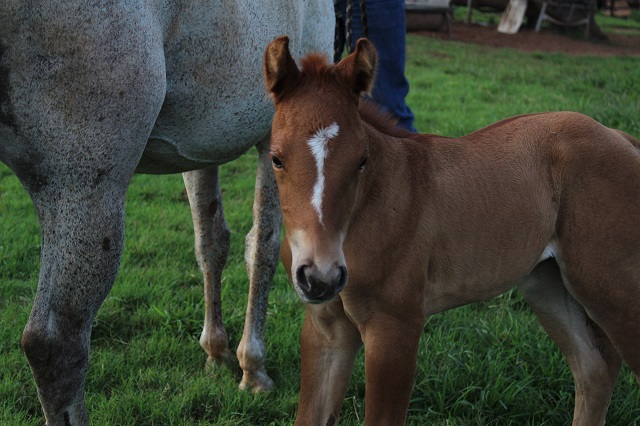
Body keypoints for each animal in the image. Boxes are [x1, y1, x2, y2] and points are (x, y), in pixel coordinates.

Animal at [0, 1, 332, 424]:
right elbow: (264, 249)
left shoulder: (200, 149)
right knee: (54, 345)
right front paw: (253, 369)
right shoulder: (276, 137)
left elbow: (211, 243)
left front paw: (216, 354)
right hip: (83, 191)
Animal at [262, 37, 640, 426]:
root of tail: (621, 137)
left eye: (362, 160)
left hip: (611, 284)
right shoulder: (326, 328)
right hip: (547, 283)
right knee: (595, 367)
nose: (321, 277)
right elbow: (310, 414)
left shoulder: (396, 327)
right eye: (276, 159)